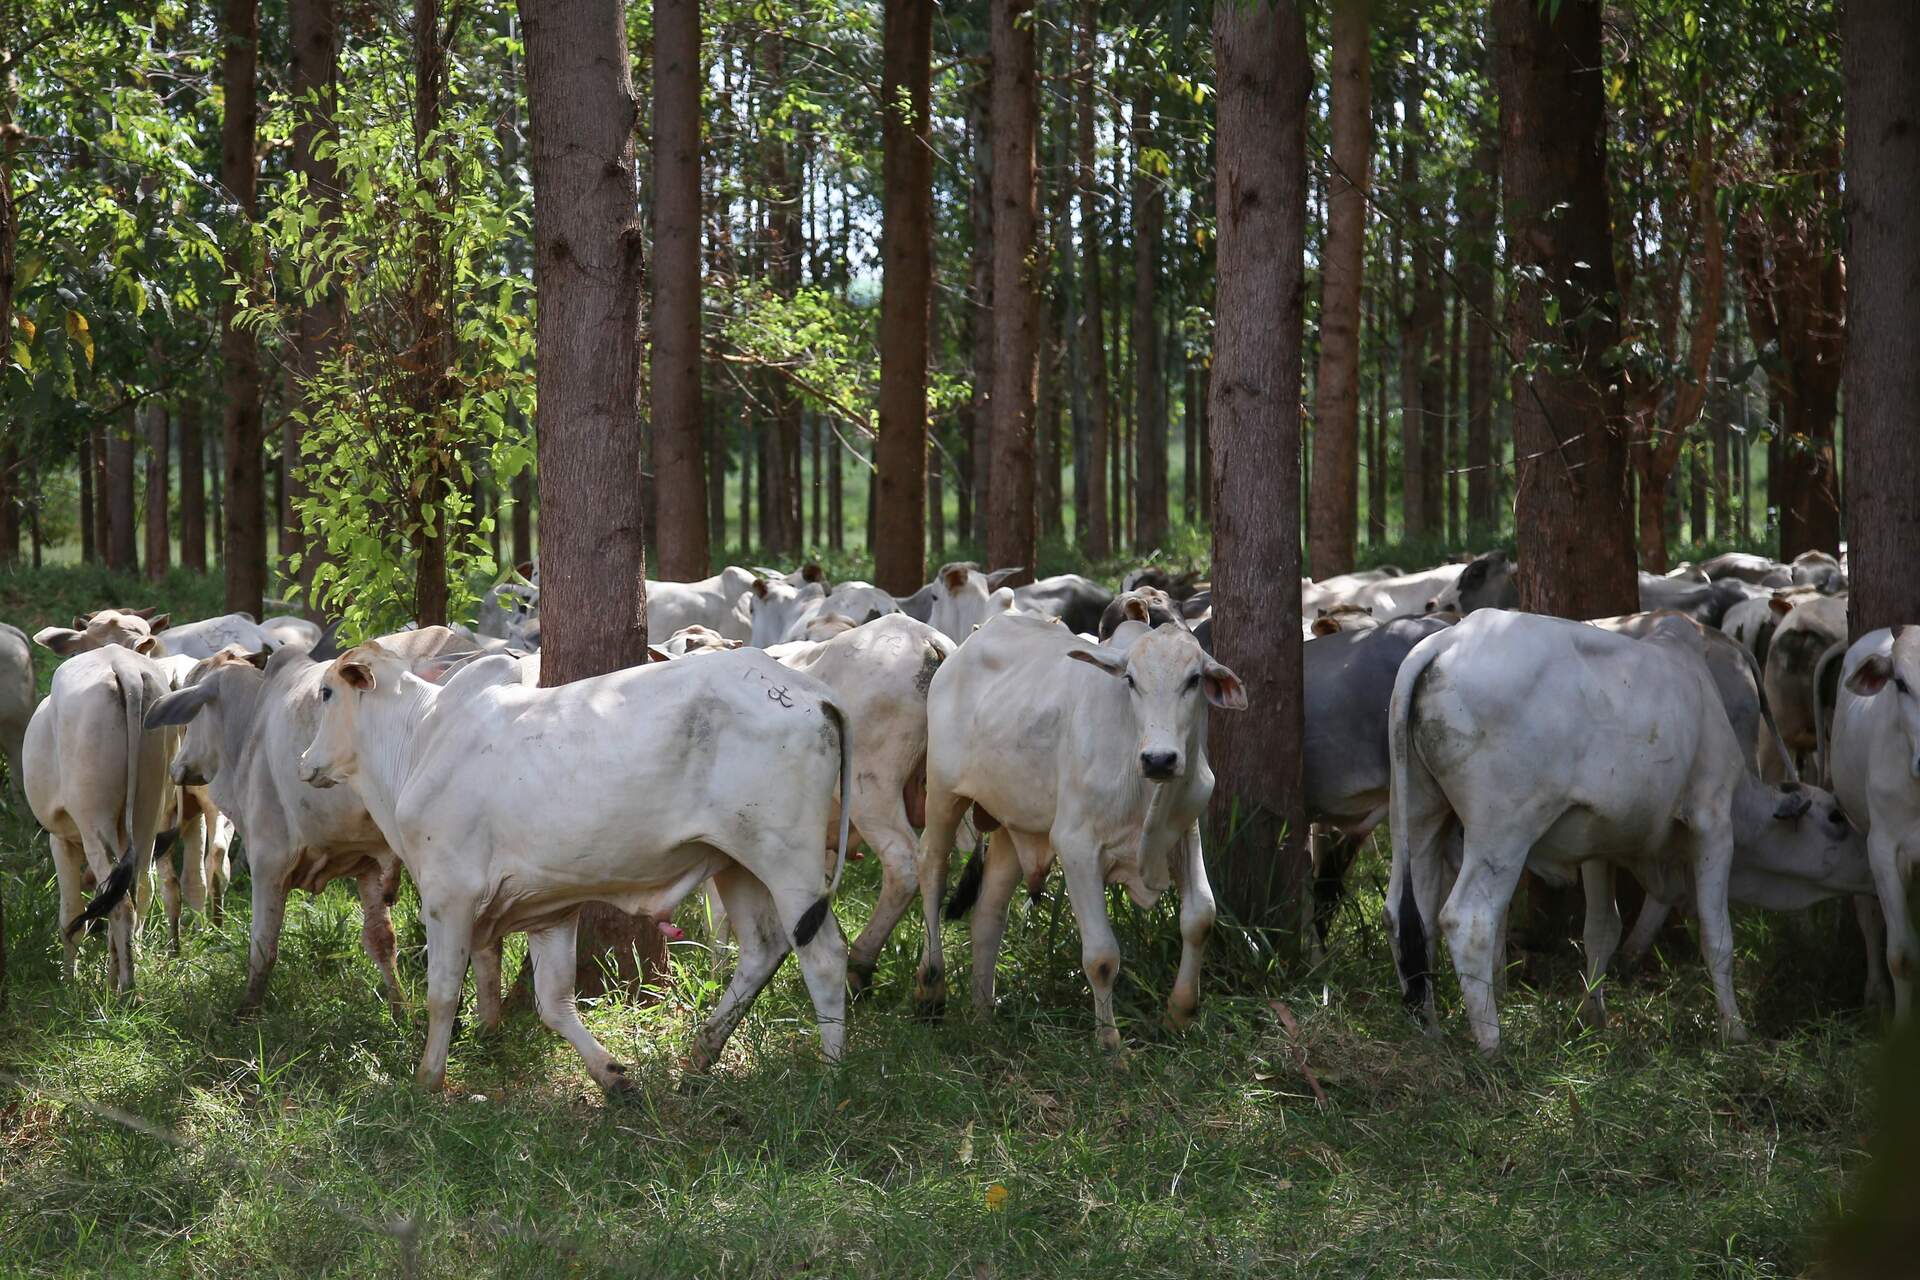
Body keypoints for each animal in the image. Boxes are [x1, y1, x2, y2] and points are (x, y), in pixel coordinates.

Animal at [22, 644, 172, 990]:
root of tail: (123, 666)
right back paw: (121, 981)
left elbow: (71, 915)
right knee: (139, 891)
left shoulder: (61, 841)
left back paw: (127, 991)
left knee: (121, 906)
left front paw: (68, 983)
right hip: (147, 816)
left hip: (94, 826)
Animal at [291, 640, 848, 1090]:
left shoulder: (449, 896)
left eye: (327, 693)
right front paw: (613, 1076)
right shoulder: (549, 908)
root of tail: (811, 691)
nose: (303, 762)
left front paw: (428, 1079)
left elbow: (443, 993)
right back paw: (700, 1056)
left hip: (786, 858)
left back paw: (831, 1072)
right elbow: (554, 1004)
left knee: (823, 955)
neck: (420, 740)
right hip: (737, 862)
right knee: (763, 948)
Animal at [913, 614, 1244, 1043]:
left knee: (988, 912)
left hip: (1013, 824)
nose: (1159, 759)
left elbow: (1200, 917)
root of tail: (961, 649)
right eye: (1131, 680)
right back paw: (930, 989)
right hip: (942, 793)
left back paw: (984, 1013)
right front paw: (1110, 1044)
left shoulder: (1185, 832)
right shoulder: (1077, 846)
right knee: (932, 867)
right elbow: (1102, 956)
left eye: (1194, 680)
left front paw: (1180, 1013)